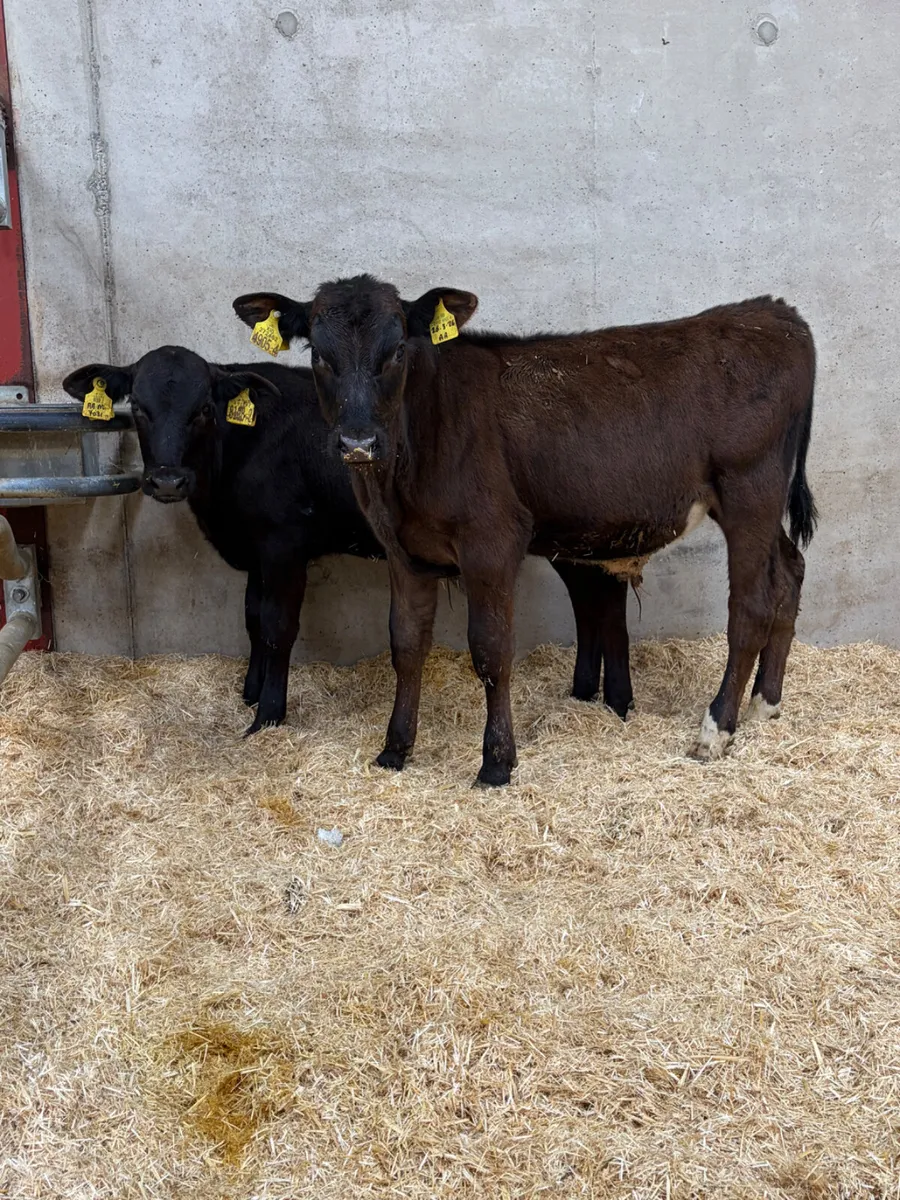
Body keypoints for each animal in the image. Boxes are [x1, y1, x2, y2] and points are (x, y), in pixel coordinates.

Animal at [63, 346, 633, 734]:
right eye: (138, 407)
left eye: (203, 407)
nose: (166, 481)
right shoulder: (255, 550)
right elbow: (251, 618)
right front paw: (250, 692)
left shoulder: (283, 546)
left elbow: (277, 626)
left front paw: (268, 716)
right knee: (593, 601)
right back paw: (589, 694)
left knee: (604, 603)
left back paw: (616, 700)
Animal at [233, 279, 817, 787]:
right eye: (317, 353)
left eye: (396, 349)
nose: (358, 442)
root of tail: (775, 313)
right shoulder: (402, 549)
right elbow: (406, 645)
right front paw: (395, 749)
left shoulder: (491, 541)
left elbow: (491, 651)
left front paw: (496, 763)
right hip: (761, 504)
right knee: (789, 572)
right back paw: (764, 704)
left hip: (750, 488)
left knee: (751, 604)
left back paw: (716, 728)